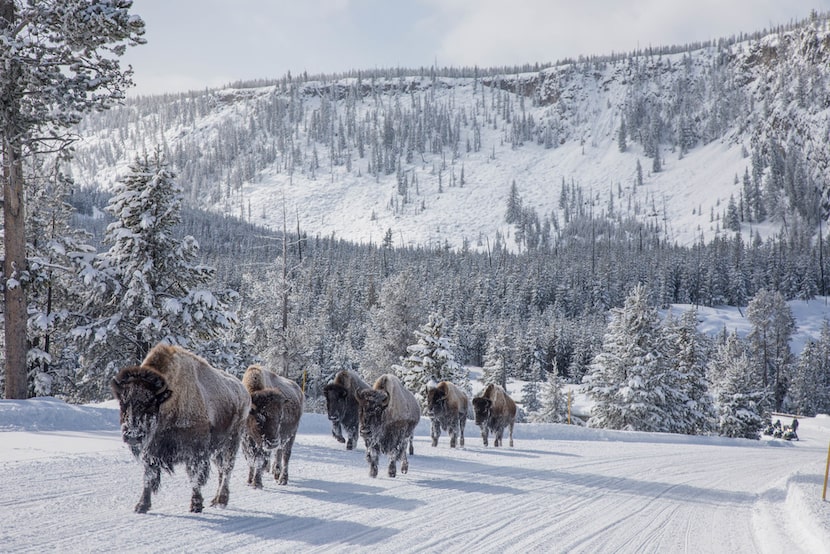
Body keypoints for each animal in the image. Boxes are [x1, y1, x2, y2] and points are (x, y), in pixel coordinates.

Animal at [109, 342, 250, 512]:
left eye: (151, 403)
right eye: (123, 403)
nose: (132, 436)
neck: (168, 400)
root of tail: (244, 392)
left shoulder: (196, 451)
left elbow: (195, 477)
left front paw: (196, 505)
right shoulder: (152, 450)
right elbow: (149, 476)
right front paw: (141, 506)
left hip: (232, 442)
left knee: (227, 469)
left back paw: (222, 500)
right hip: (218, 448)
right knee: (221, 470)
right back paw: (216, 500)